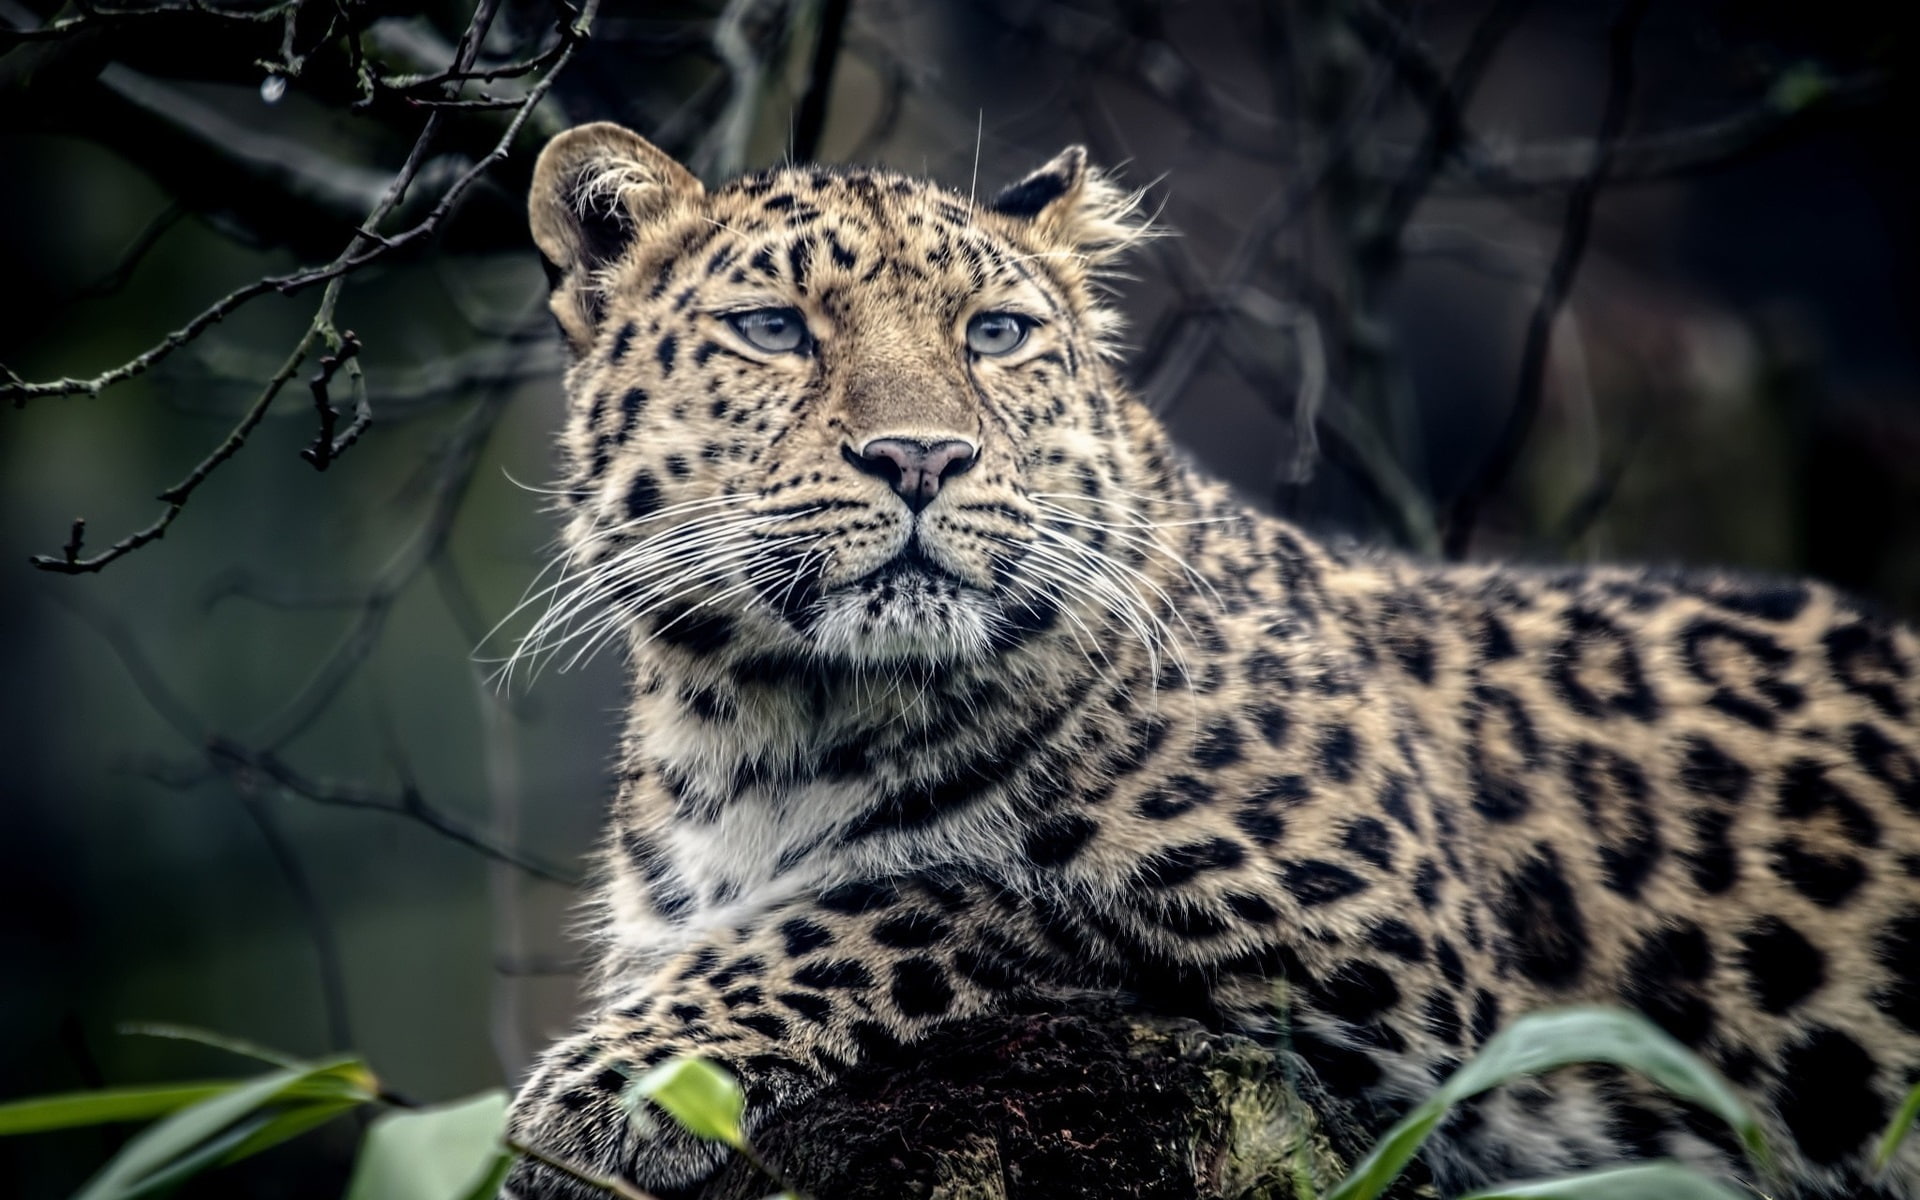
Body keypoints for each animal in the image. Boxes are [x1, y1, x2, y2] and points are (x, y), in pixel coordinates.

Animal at [501, 120, 1920, 1199]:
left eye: (996, 335)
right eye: (773, 328)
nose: (921, 458)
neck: (774, 721)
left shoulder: (1381, 948)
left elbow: (925, 894)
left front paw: (606, 1085)